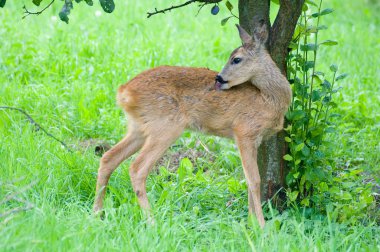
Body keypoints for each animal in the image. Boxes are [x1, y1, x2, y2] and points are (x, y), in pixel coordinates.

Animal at [93, 24, 290, 228]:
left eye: (236, 59)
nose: (219, 78)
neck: (268, 99)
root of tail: (124, 92)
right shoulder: (244, 132)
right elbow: (254, 180)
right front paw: (261, 226)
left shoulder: (254, 139)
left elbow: (249, 179)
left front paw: (251, 223)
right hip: (166, 127)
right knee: (137, 168)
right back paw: (152, 221)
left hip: (138, 128)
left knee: (108, 158)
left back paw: (96, 214)